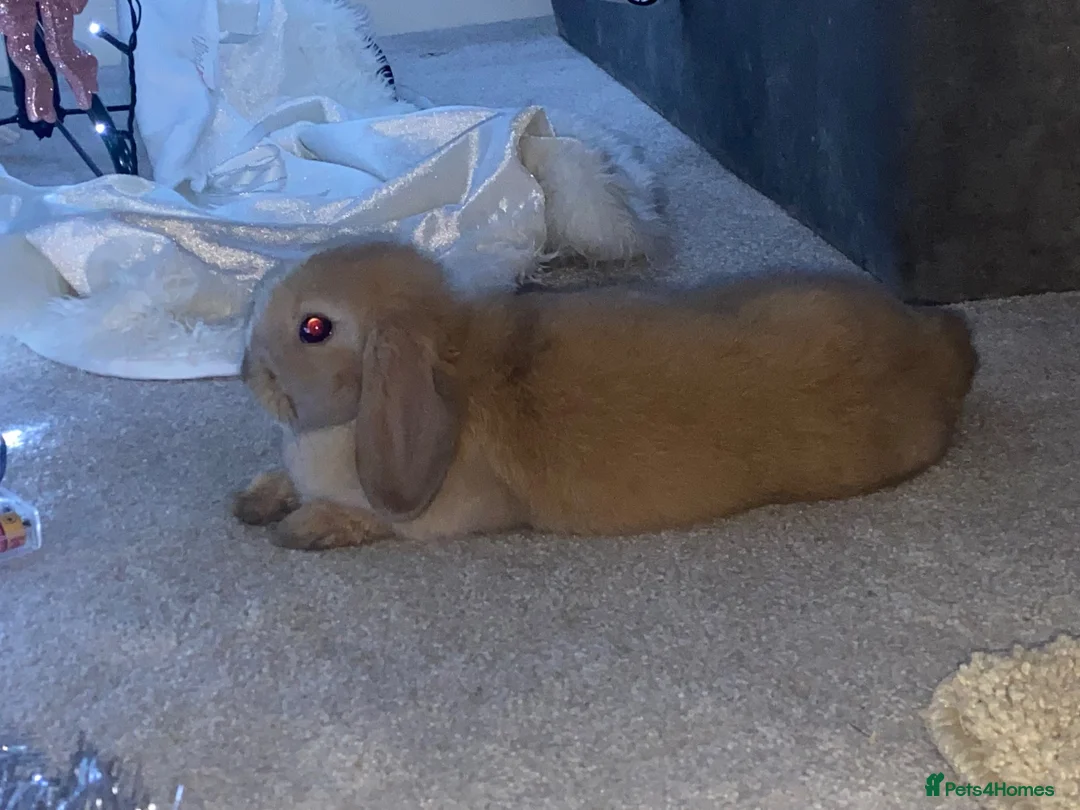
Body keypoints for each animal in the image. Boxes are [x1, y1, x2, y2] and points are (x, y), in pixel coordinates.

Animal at [233, 240, 978, 550]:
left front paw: (305, 529)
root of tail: (943, 347)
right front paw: (256, 499)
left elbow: (376, 520)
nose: (245, 371)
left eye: (314, 327)